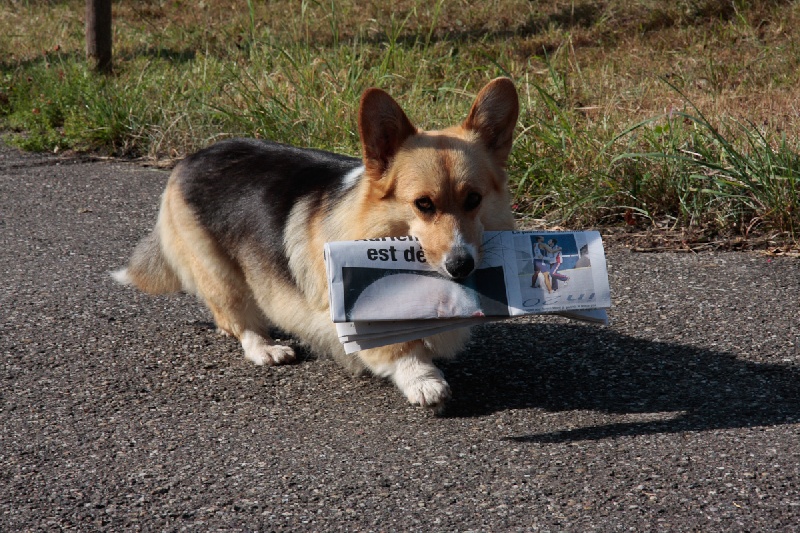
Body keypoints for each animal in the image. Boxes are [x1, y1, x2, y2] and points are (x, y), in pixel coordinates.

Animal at [114, 76, 520, 408]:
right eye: (424, 204)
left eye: (474, 200)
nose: (461, 265)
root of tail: (189, 159)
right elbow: (400, 349)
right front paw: (424, 381)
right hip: (219, 271)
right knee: (237, 317)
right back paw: (266, 348)